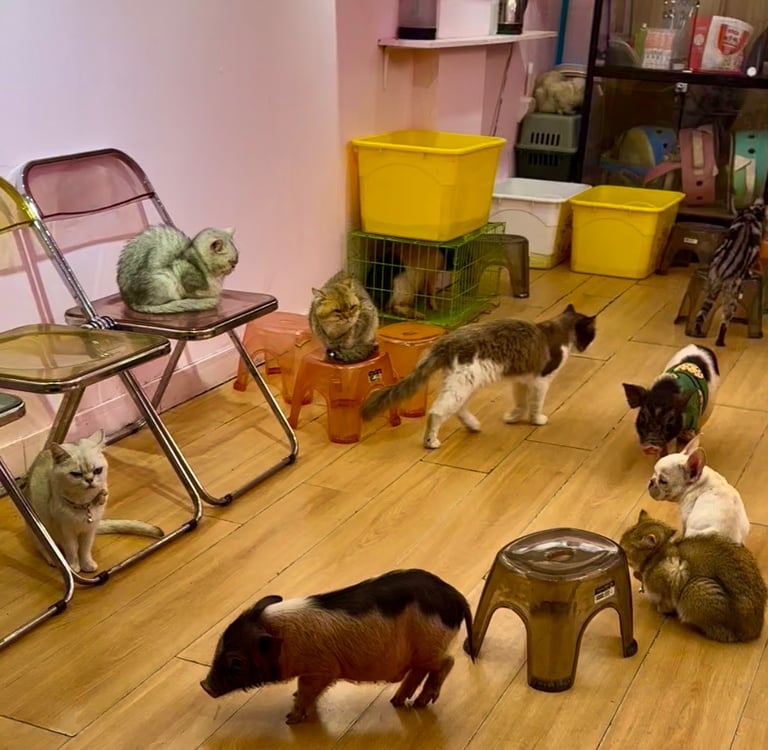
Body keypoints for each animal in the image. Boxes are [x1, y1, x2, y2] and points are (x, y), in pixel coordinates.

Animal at [23, 429, 163, 573]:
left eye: (97, 470)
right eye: (76, 474)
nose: (89, 480)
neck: (84, 505)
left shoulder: (89, 530)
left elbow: (85, 549)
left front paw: (86, 564)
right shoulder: (65, 531)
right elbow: (72, 550)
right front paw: (74, 567)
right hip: (39, 530)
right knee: (44, 548)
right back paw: (53, 560)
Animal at [361, 303, 596, 449]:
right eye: (591, 334)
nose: (588, 346)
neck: (560, 330)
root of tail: (447, 341)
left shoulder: (521, 380)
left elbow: (521, 402)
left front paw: (513, 417)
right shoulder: (541, 380)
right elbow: (535, 404)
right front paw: (537, 420)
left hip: (462, 384)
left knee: (458, 409)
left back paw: (473, 425)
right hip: (464, 383)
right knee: (437, 412)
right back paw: (431, 442)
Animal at [620, 510, 766, 643]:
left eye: (624, 550)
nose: (619, 550)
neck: (660, 554)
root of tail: (755, 630)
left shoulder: (676, 571)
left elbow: (665, 601)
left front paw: (660, 608)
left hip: (694, 588)